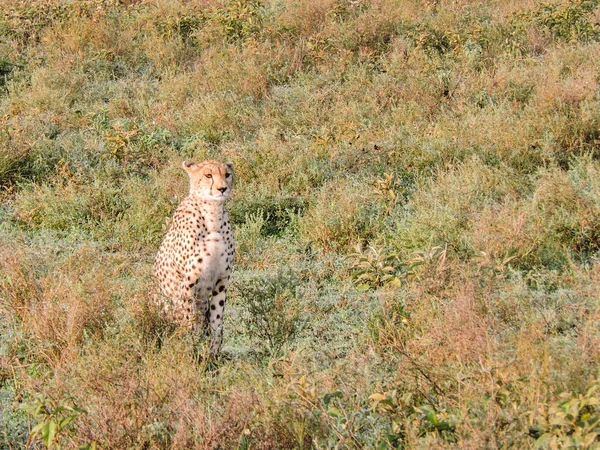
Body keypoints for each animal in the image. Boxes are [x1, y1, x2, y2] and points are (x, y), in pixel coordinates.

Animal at [155, 160, 234, 354]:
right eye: (208, 175)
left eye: (227, 174)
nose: (222, 189)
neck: (212, 214)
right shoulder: (188, 282)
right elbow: (190, 320)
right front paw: (190, 349)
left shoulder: (222, 280)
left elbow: (217, 320)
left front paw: (213, 353)